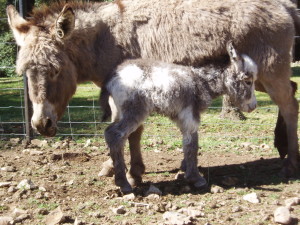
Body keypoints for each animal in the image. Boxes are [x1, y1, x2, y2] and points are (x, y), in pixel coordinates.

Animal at [104, 42, 256, 193]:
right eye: (248, 81)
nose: (254, 106)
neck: (200, 80)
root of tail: (115, 77)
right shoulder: (190, 116)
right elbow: (192, 145)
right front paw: (196, 178)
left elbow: (189, 143)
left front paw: (186, 170)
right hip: (134, 112)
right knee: (115, 135)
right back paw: (123, 183)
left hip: (119, 113)